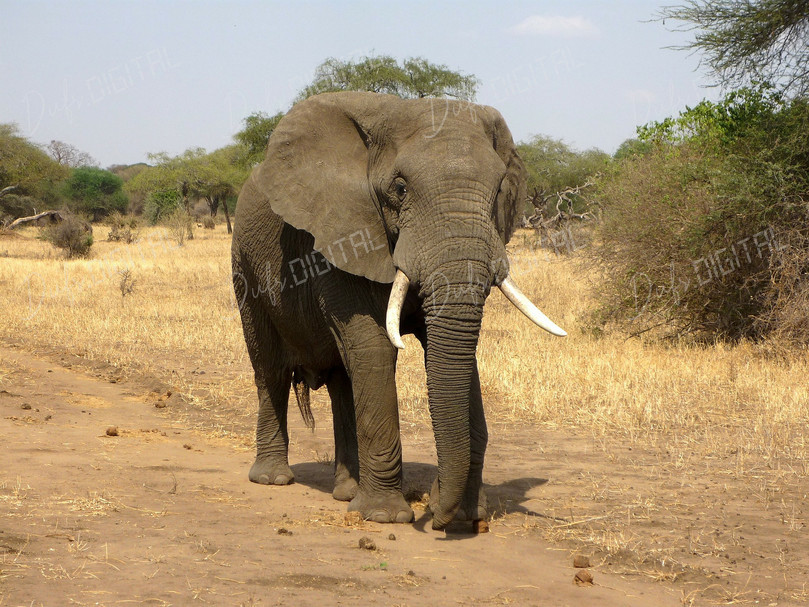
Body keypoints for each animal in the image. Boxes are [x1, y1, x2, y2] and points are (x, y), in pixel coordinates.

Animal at [231, 91, 565, 530]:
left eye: (497, 192)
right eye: (400, 188)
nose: (436, 514)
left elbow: (455, 355)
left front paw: (467, 515)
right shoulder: (343, 235)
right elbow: (375, 347)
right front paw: (384, 517)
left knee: (342, 379)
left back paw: (346, 492)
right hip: (244, 264)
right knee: (269, 367)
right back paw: (273, 479)